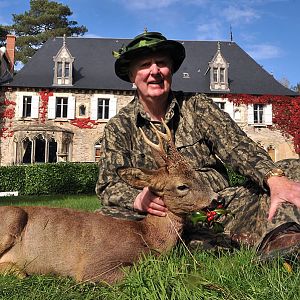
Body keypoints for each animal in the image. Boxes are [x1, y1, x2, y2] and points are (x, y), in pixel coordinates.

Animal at [0, 119, 216, 284]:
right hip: (12, 218)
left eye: (198, 175)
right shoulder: (95, 264)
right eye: (182, 186)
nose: (215, 198)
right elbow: (140, 272)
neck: (148, 236)